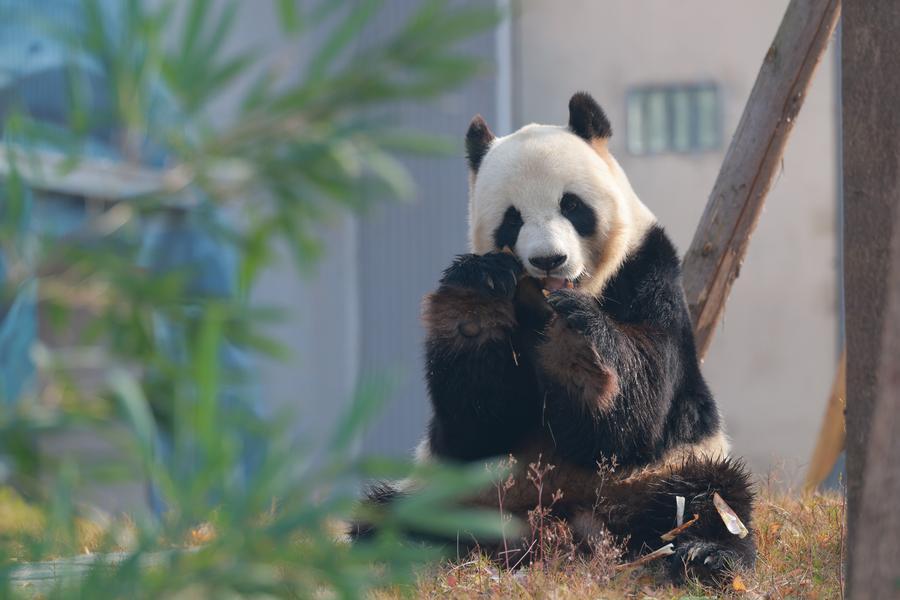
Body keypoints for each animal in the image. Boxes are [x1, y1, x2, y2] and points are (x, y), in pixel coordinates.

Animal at [354, 92, 755, 584]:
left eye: (573, 205)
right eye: (512, 219)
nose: (549, 260)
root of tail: (557, 526)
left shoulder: (649, 272)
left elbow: (640, 407)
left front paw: (579, 349)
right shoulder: (467, 444)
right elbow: (476, 425)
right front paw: (476, 306)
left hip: (661, 473)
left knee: (708, 499)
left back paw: (705, 555)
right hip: (455, 490)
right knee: (390, 517)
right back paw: (402, 552)